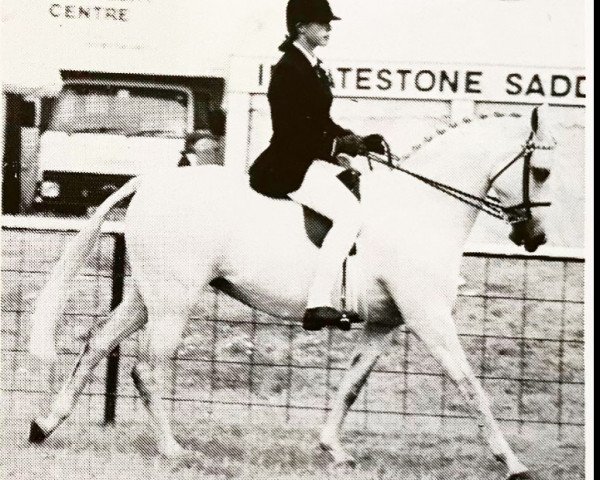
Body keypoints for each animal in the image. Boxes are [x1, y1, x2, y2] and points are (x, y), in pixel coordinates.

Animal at [28, 104, 556, 476]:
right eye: (543, 172)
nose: (535, 238)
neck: (420, 210)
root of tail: (152, 181)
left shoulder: (386, 323)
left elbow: (352, 385)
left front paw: (334, 450)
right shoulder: (428, 315)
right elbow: (470, 386)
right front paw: (514, 464)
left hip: (149, 296)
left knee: (98, 342)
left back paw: (45, 425)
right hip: (174, 301)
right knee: (147, 371)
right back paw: (173, 450)